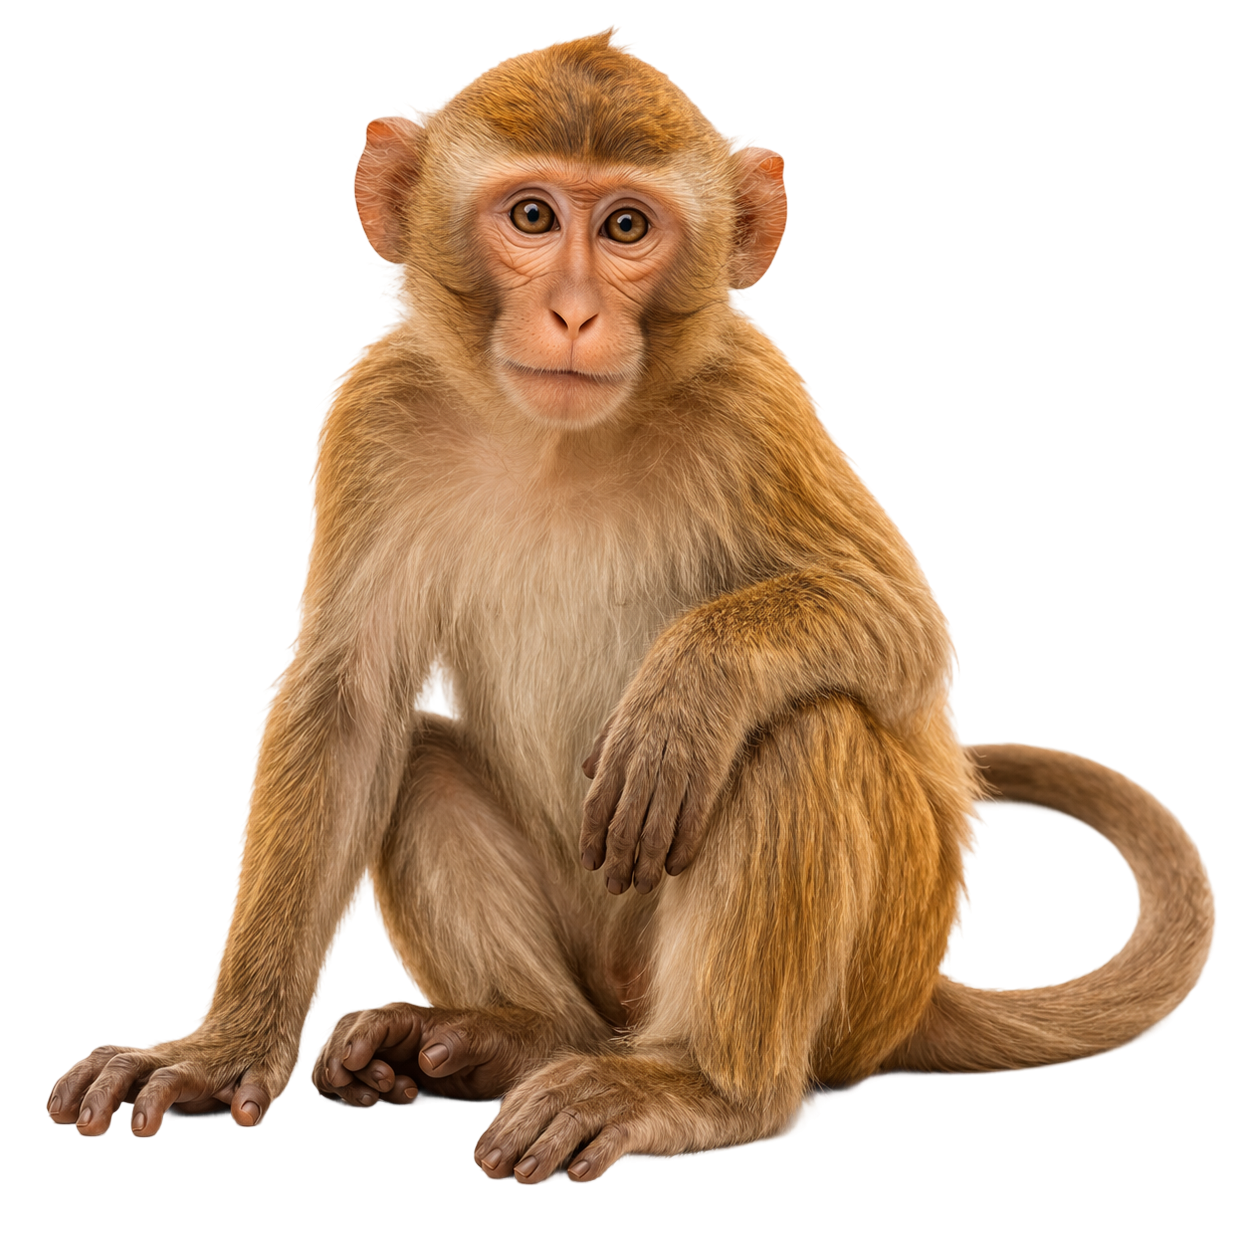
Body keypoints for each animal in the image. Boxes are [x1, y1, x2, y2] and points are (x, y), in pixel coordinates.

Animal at [47, 28, 1215, 1181]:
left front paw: (691, 688)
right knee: (421, 762)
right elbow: (347, 707)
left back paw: (698, 1084)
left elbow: (908, 634)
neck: (556, 444)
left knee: (804, 734)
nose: (574, 312)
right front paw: (216, 1051)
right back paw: (508, 1038)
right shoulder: (375, 413)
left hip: (863, 977)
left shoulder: (756, 401)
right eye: (531, 218)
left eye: (624, 228)